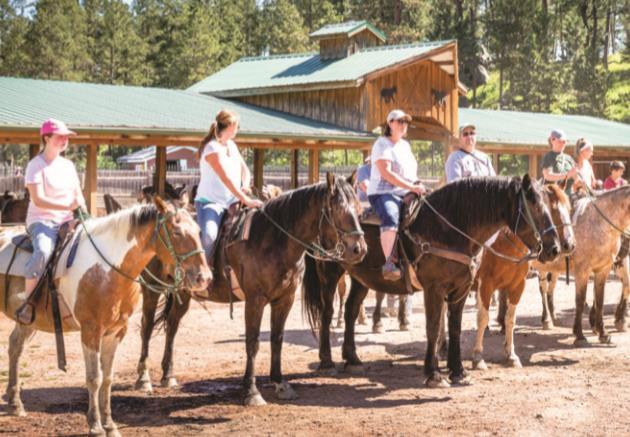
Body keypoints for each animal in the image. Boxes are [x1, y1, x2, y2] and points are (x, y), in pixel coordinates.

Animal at [0, 197, 212, 436]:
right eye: (176, 232)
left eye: (198, 230)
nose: (204, 278)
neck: (106, 269)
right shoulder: (90, 330)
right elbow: (94, 378)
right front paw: (95, 425)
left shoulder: (116, 331)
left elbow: (108, 378)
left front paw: (110, 425)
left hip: (29, 320)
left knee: (15, 346)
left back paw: (15, 403)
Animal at [135, 172, 368, 404]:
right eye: (338, 209)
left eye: (358, 209)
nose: (359, 249)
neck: (273, 239)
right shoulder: (255, 300)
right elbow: (253, 342)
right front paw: (251, 391)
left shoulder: (285, 299)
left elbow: (277, 339)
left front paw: (280, 382)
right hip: (152, 288)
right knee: (147, 326)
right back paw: (143, 378)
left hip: (183, 293)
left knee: (172, 325)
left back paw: (168, 375)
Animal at [304, 175, 564, 386]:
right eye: (535, 207)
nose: (554, 248)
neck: (449, 228)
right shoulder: (435, 288)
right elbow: (433, 326)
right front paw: (434, 374)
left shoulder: (462, 288)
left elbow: (456, 327)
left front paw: (458, 372)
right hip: (330, 271)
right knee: (327, 313)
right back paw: (327, 362)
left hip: (361, 279)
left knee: (350, 310)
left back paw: (353, 358)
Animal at [536, 184, 630, 344]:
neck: (600, 224)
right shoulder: (583, 271)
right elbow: (580, 301)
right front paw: (579, 335)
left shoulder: (604, 268)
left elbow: (600, 299)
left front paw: (603, 332)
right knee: (543, 288)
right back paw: (546, 319)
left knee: (550, 288)